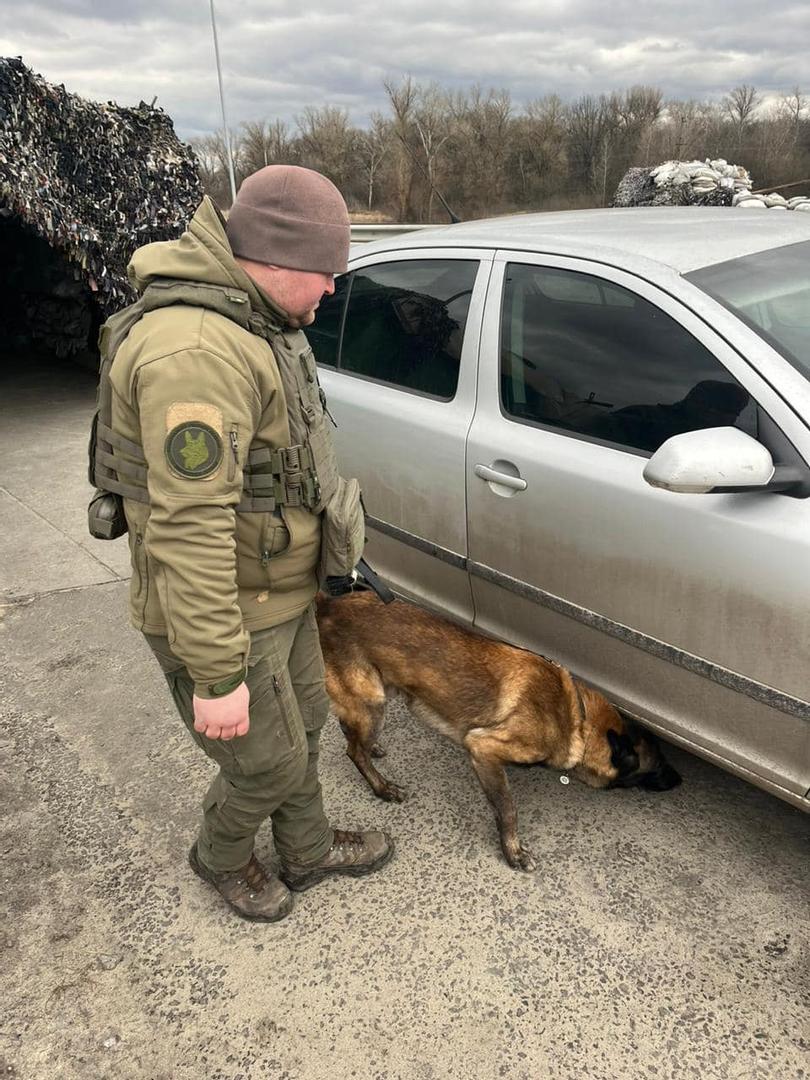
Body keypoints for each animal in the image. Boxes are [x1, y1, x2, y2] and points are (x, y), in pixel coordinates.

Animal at [317, 587, 686, 872]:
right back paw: (382, 786)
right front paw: (513, 852)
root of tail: (328, 604)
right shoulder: (484, 749)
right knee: (353, 750)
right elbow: (508, 809)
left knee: (349, 730)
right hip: (374, 705)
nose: (681, 779)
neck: (575, 715)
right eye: (658, 765)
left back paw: (374, 749)